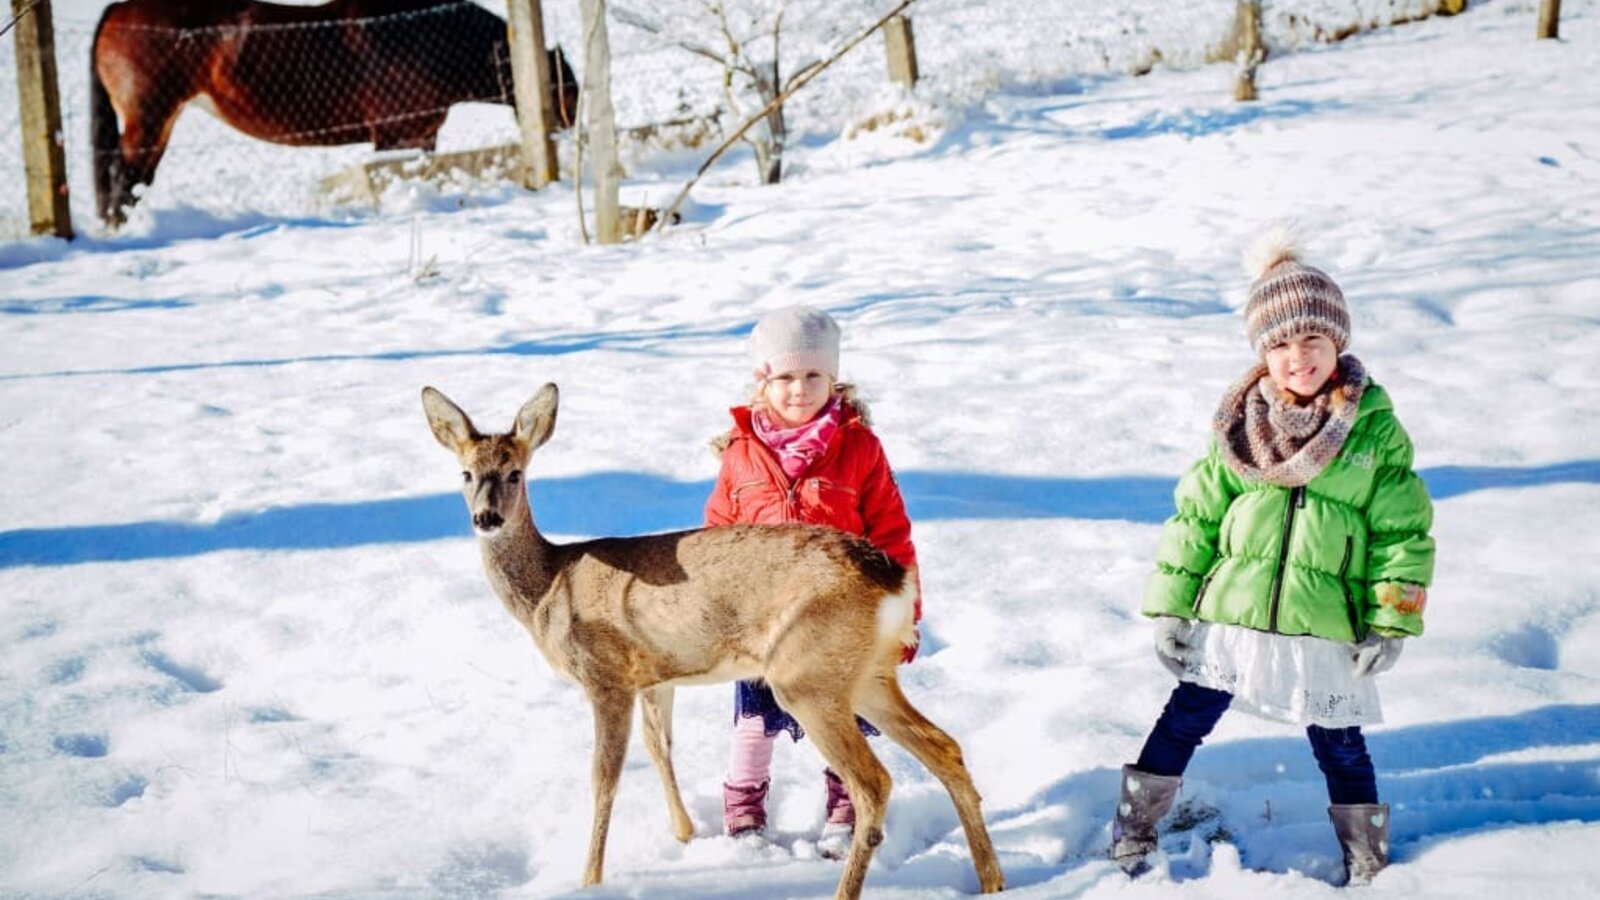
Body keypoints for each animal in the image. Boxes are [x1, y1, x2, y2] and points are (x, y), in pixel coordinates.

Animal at [90, 0, 579, 222]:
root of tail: (118, 10)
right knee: (125, 180)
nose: (571, 136)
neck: (422, 38)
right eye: (567, 91)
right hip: (151, 117)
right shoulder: (396, 137)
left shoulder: (420, 137)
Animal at [419, 384, 1004, 896]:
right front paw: (683, 833)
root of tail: (893, 579)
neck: (549, 587)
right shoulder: (654, 676)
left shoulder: (605, 675)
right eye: (466, 473)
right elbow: (660, 747)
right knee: (944, 746)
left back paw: (847, 890)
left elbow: (604, 778)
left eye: (514, 473)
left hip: (805, 672)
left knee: (874, 782)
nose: (486, 517)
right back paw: (992, 880)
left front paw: (589, 879)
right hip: (866, 673)